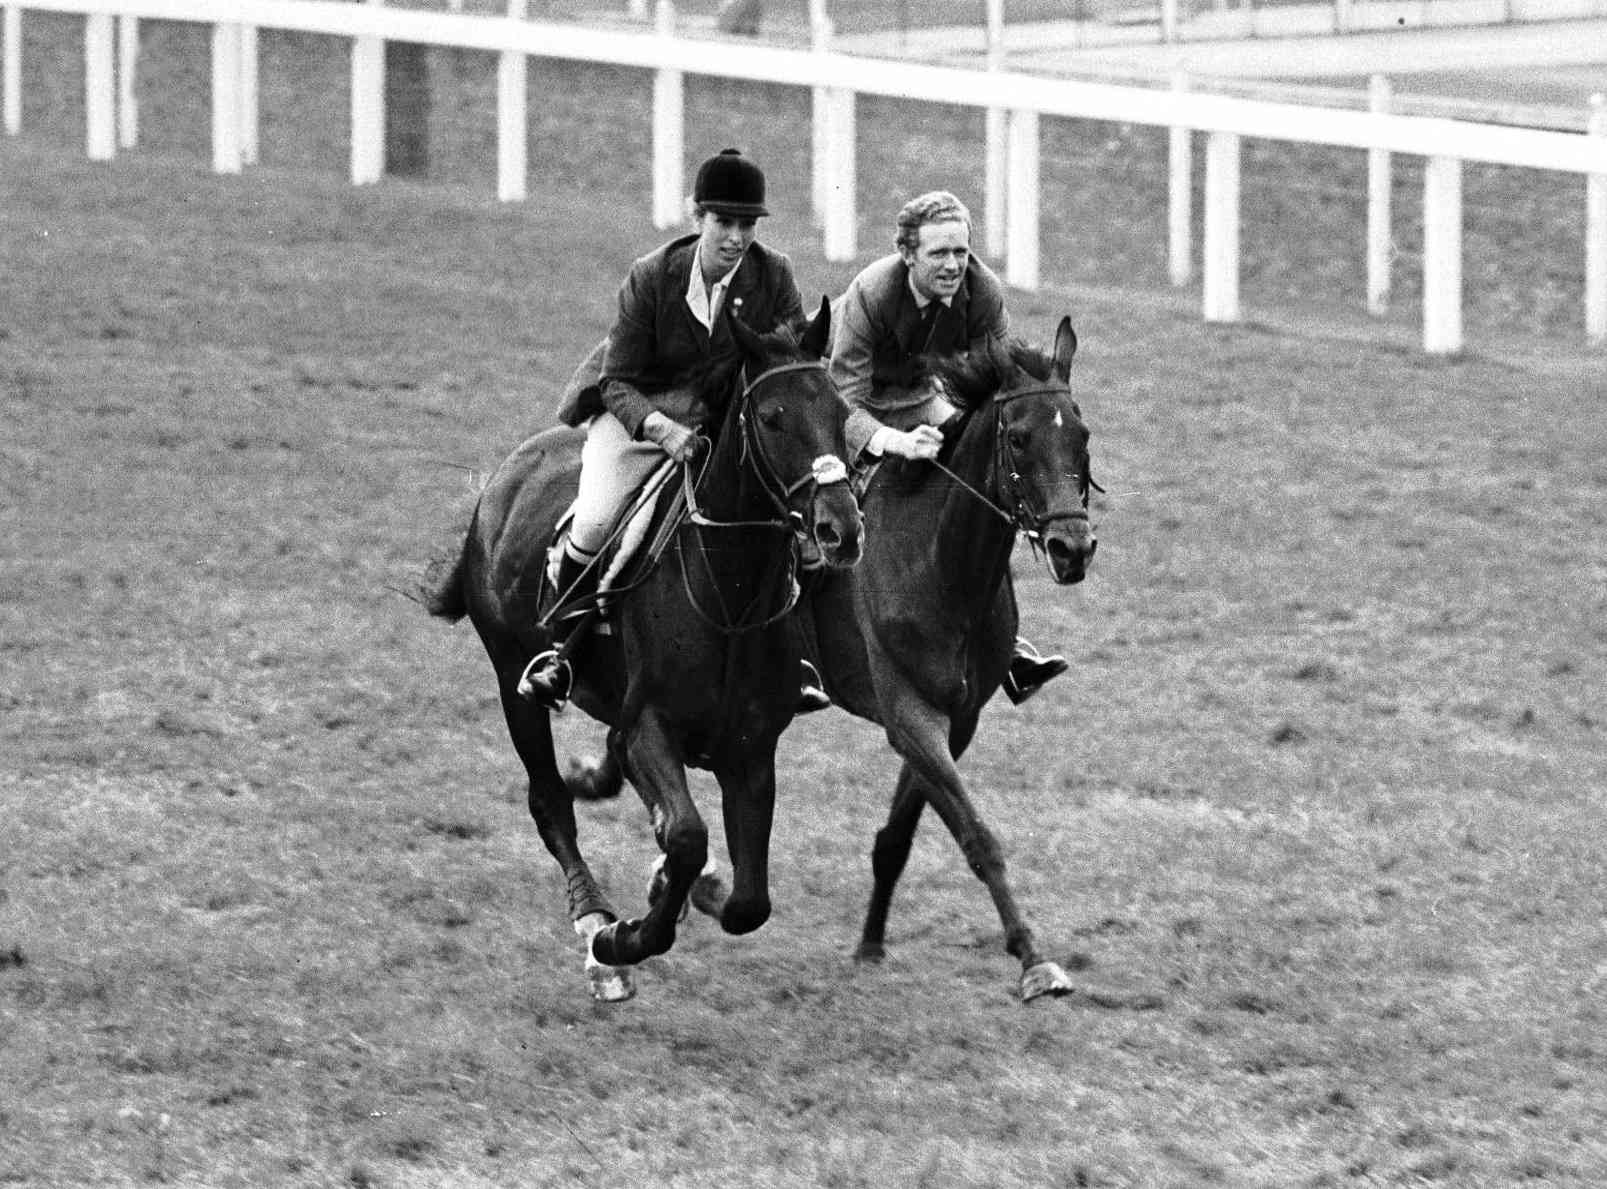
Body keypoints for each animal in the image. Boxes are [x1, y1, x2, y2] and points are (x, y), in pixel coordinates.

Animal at [421, 302, 861, 996]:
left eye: (841, 414)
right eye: (772, 417)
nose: (841, 530)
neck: (729, 596)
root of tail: (506, 476)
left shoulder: (751, 751)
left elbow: (748, 903)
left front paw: (686, 891)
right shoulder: (650, 727)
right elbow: (685, 835)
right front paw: (622, 939)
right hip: (513, 677)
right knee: (549, 800)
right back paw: (593, 920)